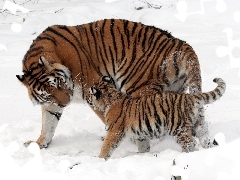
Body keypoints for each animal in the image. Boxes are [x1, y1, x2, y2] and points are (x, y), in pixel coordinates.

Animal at [16, 18, 202, 152]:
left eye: (59, 83)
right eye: (47, 93)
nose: (66, 103)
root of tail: (179, 43)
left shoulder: (92, 90)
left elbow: (107, 116)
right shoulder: (51, 104)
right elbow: (48, 124)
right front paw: (39, 144)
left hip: (138, 87)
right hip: (173, 90)